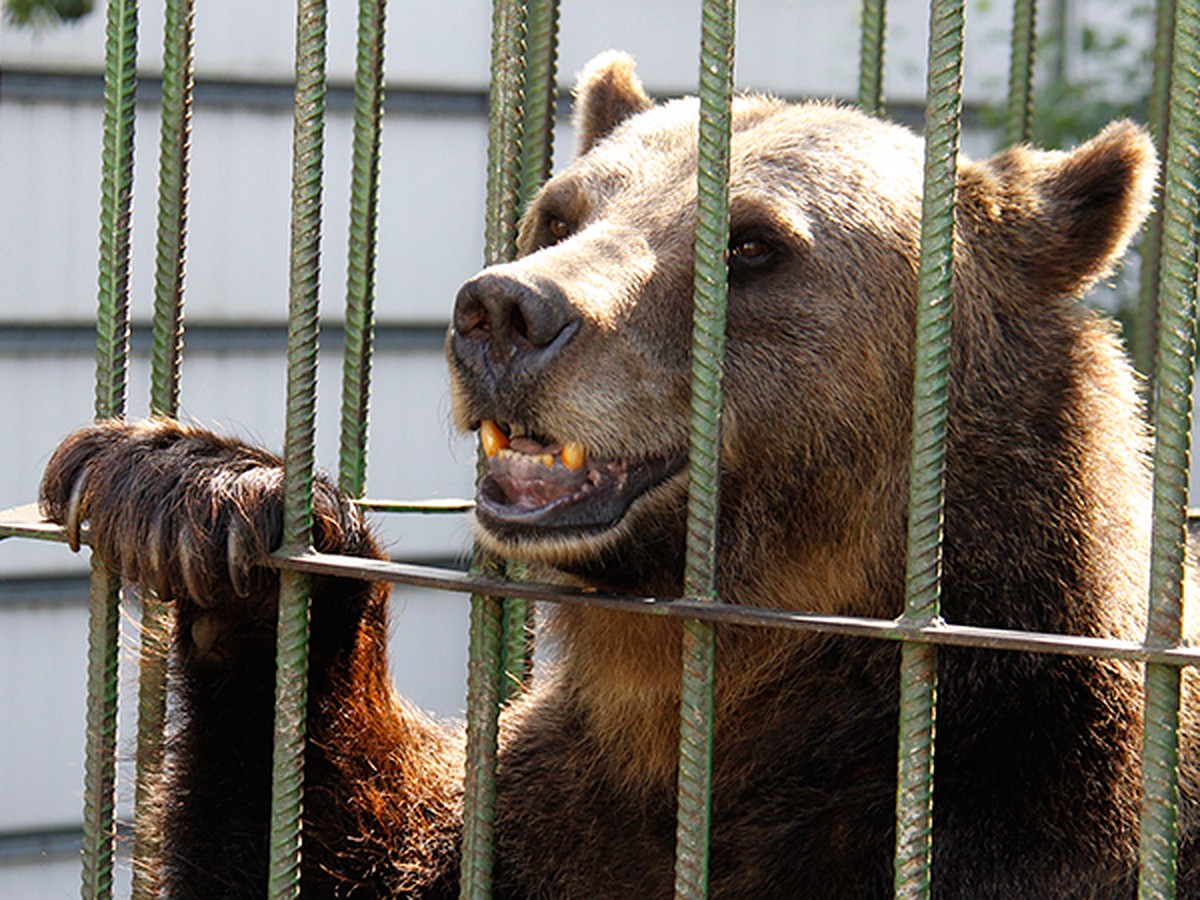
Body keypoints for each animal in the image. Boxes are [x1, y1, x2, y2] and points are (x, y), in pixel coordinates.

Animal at [37, 52, 1200, 897]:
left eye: (752, 245)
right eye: (561, 212)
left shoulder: (1037, 812)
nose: (503, 312)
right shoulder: (551, 817)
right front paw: (199, 494)